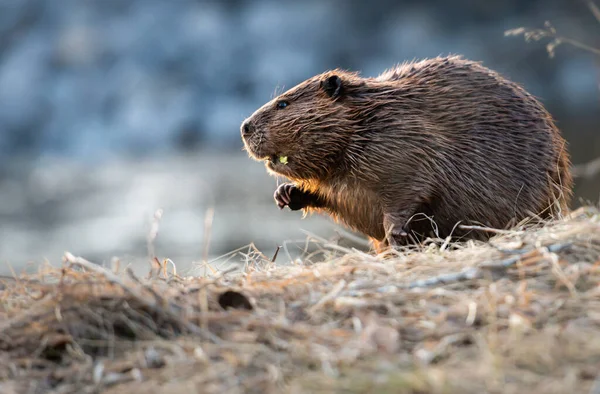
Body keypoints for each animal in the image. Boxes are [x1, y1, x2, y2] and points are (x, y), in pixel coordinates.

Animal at [238, 56, 572, 249]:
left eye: (283, 103)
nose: (244, 127)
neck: (368, 121)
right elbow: (332, 199)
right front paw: (285, 194)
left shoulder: (404, 143)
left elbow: (411, 189)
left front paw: (396, 233)